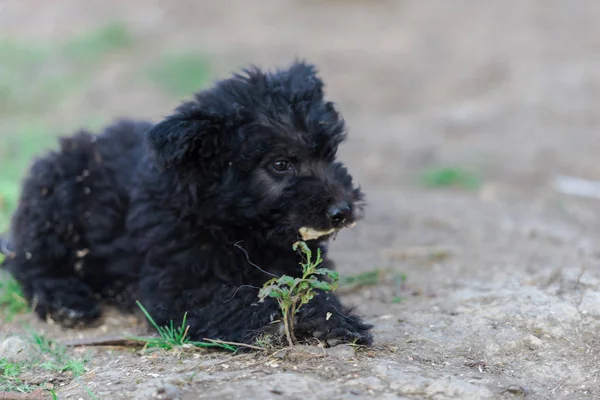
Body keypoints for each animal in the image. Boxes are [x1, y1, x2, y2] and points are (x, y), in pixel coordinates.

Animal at [2, 61, 372, 346]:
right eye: (280, 164)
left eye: (329, 152)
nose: (343, 210)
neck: (236, 228)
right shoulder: (177, 290)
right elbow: (245, 298)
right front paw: (305, 319)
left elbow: (308, 287)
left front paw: (334, 317)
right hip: (52, 207)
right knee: (31, 265)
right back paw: (67, 302)